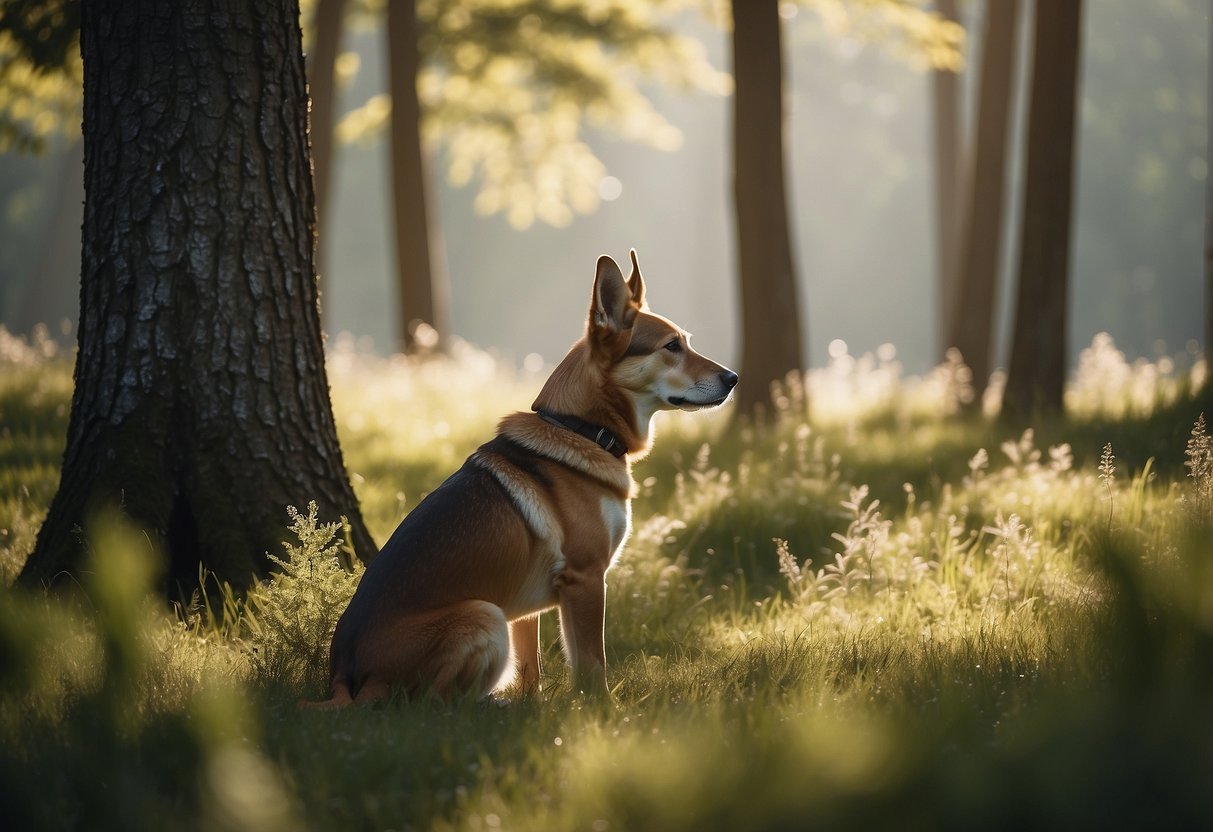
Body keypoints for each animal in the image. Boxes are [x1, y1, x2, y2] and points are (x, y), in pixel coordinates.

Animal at [312, 251, 732, 708]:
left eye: (686, 341)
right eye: (672, 347)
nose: (733, 378)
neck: (581, 429)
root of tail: (344, 676)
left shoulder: (533, 609)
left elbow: (535, 670)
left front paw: (538, 705)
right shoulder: (586, 579)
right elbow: (593, 663)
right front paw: (604, 711)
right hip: (484, 615)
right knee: (434, 703)